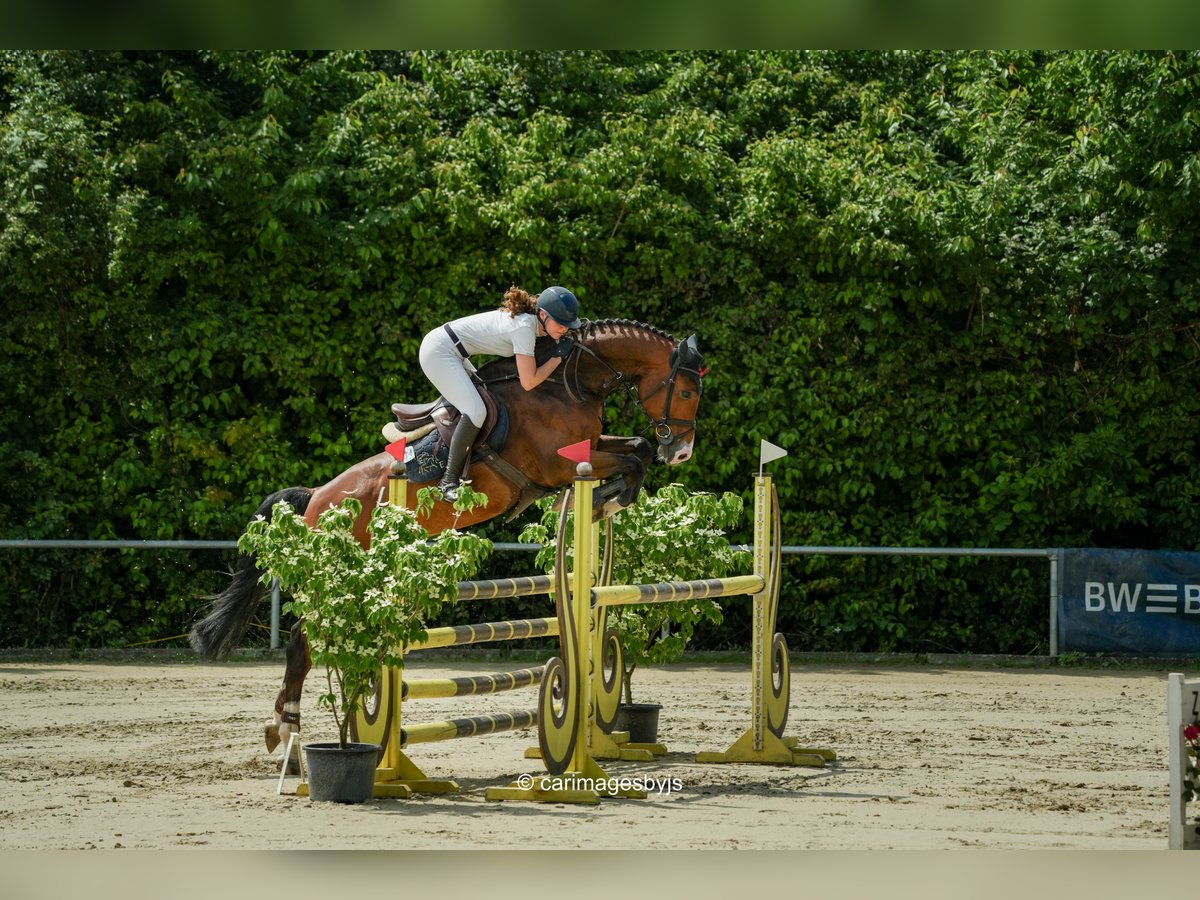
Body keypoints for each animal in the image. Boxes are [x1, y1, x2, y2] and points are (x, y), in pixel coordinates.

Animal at [192, 321, 705, 758]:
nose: (682, 453)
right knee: (302, 640)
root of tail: (318, 497)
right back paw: (288, 733)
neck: (566, 384)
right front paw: (601, 499)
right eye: (684, 390)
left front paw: (608, 499)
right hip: (341, 578)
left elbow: (637, 449)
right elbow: (632, 459)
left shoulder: (591, 447)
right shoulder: (559, 464)